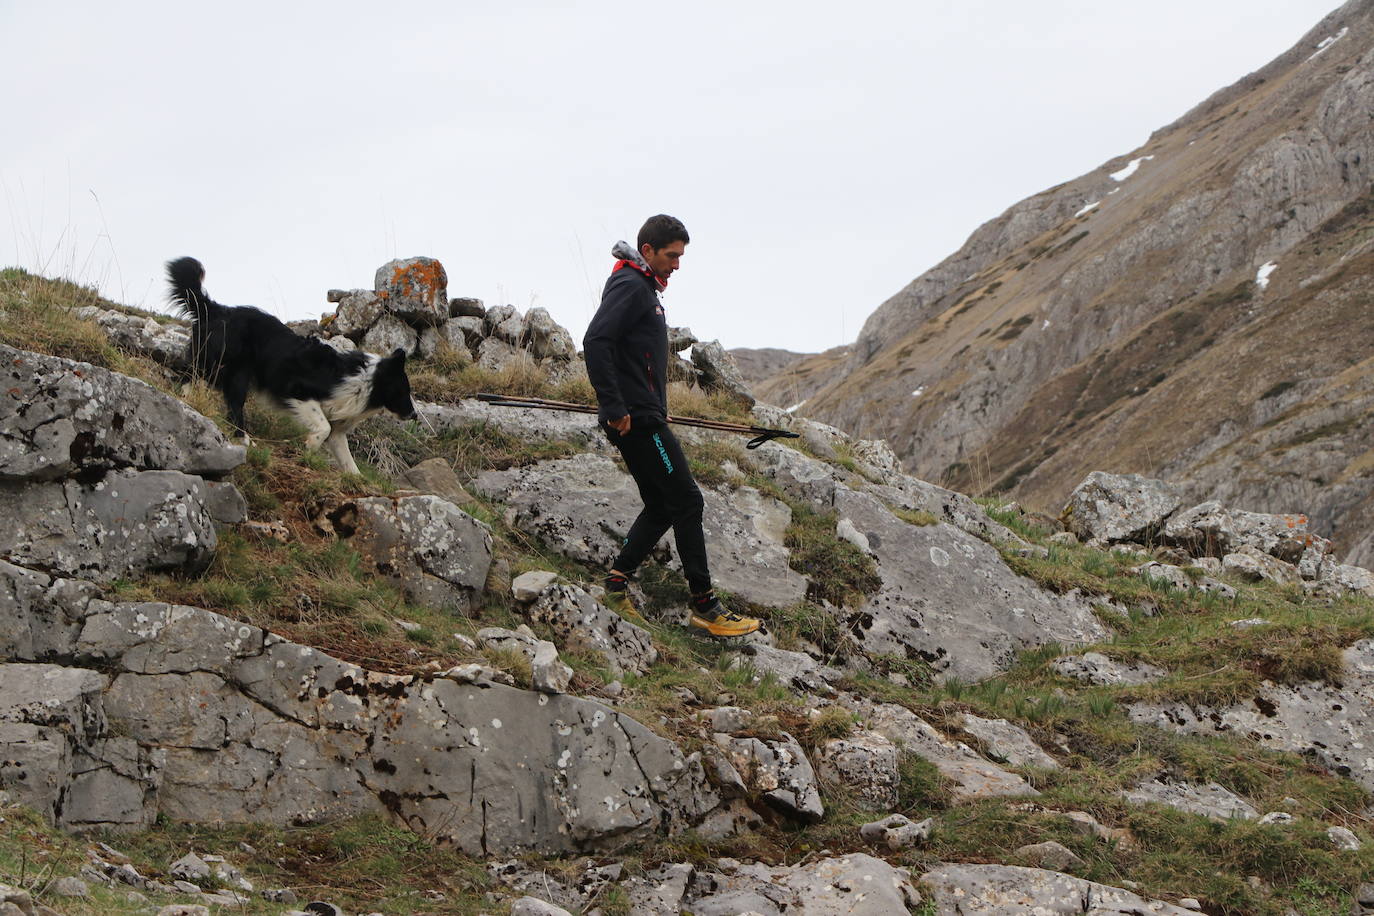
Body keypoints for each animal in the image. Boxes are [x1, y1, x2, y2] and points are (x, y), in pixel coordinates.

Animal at [166, 256, 414, 477]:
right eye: (404, 390)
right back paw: (241, 436)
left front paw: (356, 479)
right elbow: (322, 427)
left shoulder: (337, 427)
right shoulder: (299, 391)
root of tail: (217, 309)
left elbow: (346, 458)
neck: (367, 381)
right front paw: (309, 446)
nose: (413, 415)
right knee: (212, 389)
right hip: (233, 370)